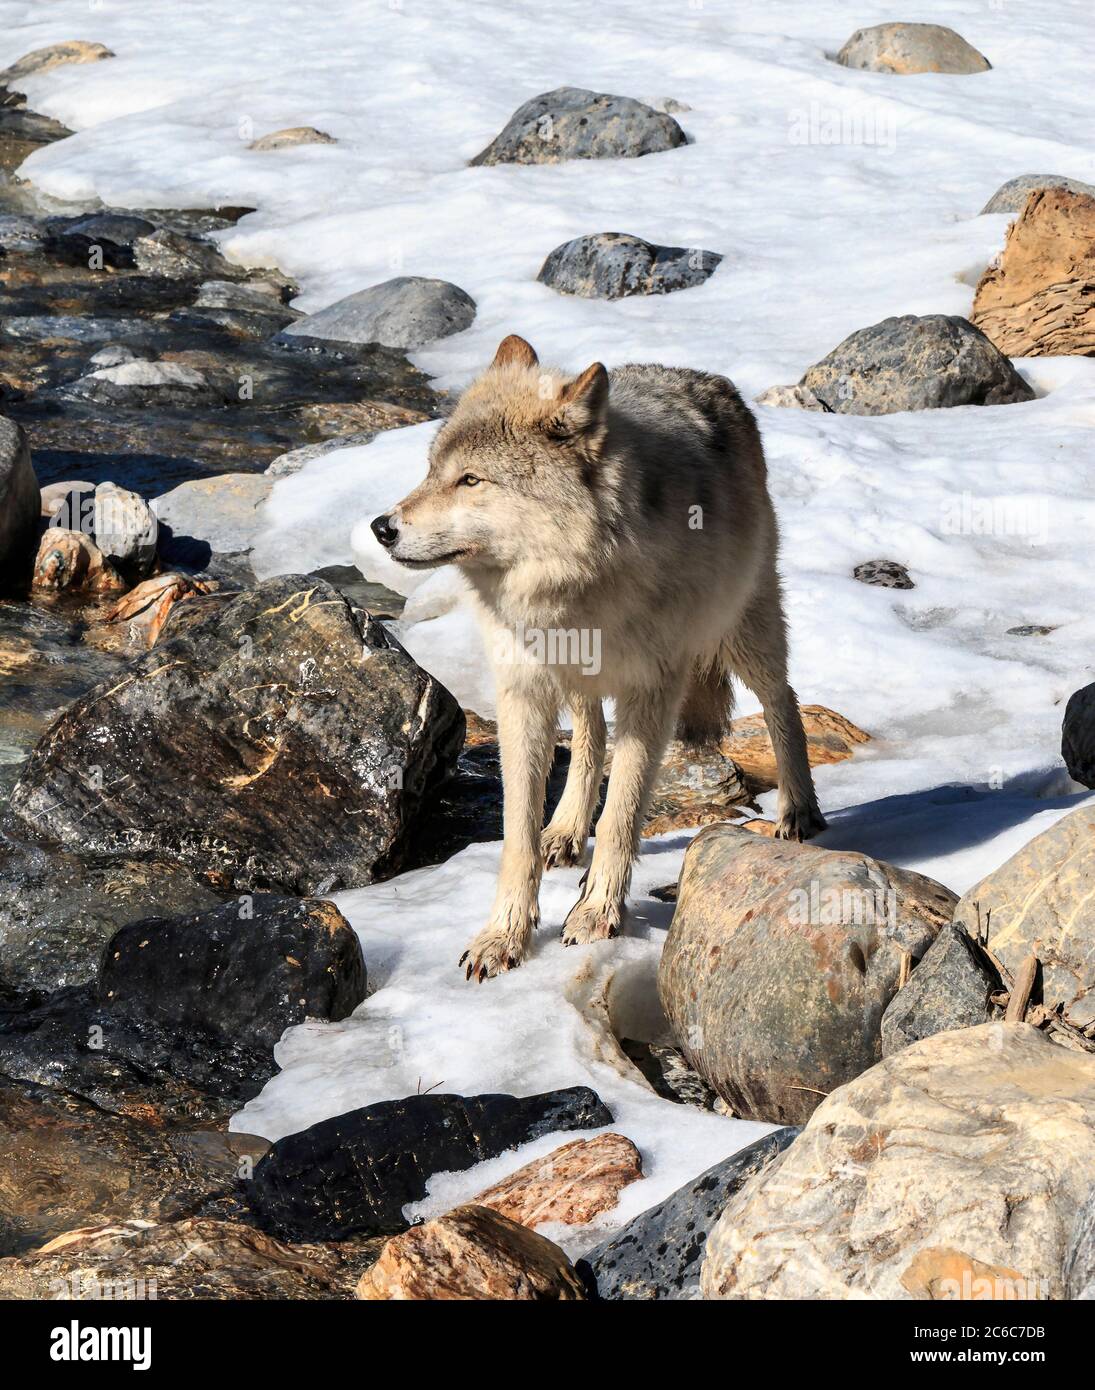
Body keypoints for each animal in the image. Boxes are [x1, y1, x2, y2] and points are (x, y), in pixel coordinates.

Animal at [372, 335, 826, 981]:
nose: (381, 527)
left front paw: (596, 914)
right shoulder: (523, 693)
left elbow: (622, 815)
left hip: (742, 632)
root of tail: (703, 377)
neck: (578, 578)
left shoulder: (652, 692)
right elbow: (518, 836)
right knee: (590, 736)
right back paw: (563, 830)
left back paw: (797, 811)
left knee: (782, 699)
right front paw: (503, 936)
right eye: (432, 471)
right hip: (580, 678)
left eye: (471, 480)